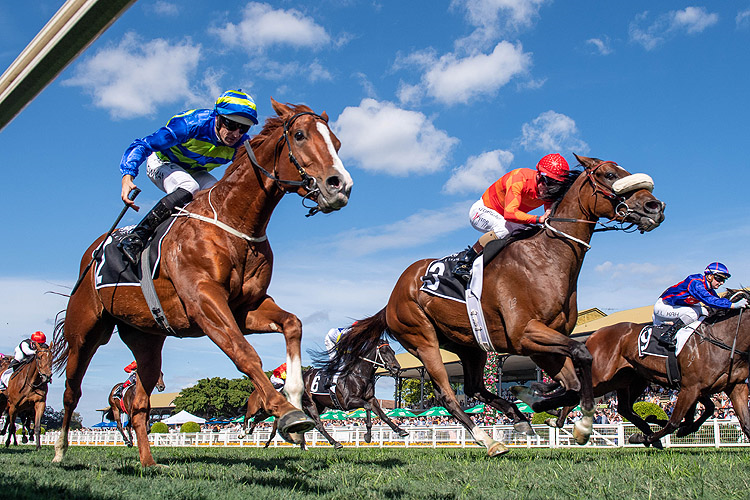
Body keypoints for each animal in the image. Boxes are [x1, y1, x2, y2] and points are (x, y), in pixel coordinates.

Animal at [52, 99, 356, 466]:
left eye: (337, 142)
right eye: (299, 135)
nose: (340, 186)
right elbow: (245, 354)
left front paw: (296, 402)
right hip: (84, 332)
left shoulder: (246, 307)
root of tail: (92, 252)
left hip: (146, 339)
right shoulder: (204, 302)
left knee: (139, 402)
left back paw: (148, 462)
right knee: (72, 390)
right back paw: (59, 450)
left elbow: (292, 323)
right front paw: (287, 413)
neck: (233, 222)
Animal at [244, 340, 408, 450]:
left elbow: (383, 415)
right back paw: (335, 443)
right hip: (310, 403)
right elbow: (367, 408)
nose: (396, 368)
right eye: (385, 352)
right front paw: (367, 435)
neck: (358, 374)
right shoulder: (348, 402)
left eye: (393, 352)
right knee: (318, 424)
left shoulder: (371, 398)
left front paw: (400, 431)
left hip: (317, 406)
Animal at [346, 156, 664, 458]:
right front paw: (578, 421)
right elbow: (582, 354)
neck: (547, 257)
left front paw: (535, 400)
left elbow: (572, 384)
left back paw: (517, 418)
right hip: (422, 339)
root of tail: (390, 300)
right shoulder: (526, 334)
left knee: (473, 388)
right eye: (609, 175)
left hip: (468, 344)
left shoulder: (543, 343)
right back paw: (487, 439)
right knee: (447, 394)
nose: (655, 206)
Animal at [552, 292, 750, 448]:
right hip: (601, 378)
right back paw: (559, 418)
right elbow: (674, 422)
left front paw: (663, 427)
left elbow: (737, 420)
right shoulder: (691, 386)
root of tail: (593, 335)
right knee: (580, 393)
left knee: (624, 408)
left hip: (628, 380)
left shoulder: (733, 386)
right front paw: (645, 436)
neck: (720, 339)